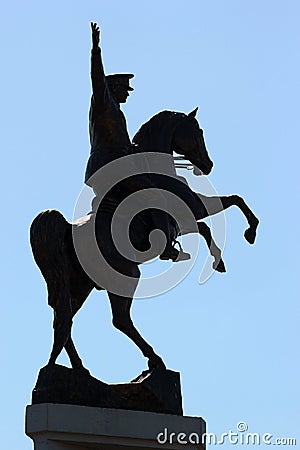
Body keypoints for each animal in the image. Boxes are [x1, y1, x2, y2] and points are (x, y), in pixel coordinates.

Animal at [29, 110, 258, 372]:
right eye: (198, 131)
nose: (208, 165)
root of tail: (68, 228)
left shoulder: (184, 221)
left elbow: (207, 225)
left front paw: (214, 258)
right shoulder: (195, 207)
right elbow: (232, 202)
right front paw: (247, 235)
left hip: (79, 286)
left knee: (63, 318)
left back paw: (75, 367)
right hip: (126, 275)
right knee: (119, 320)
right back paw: (154, 359)